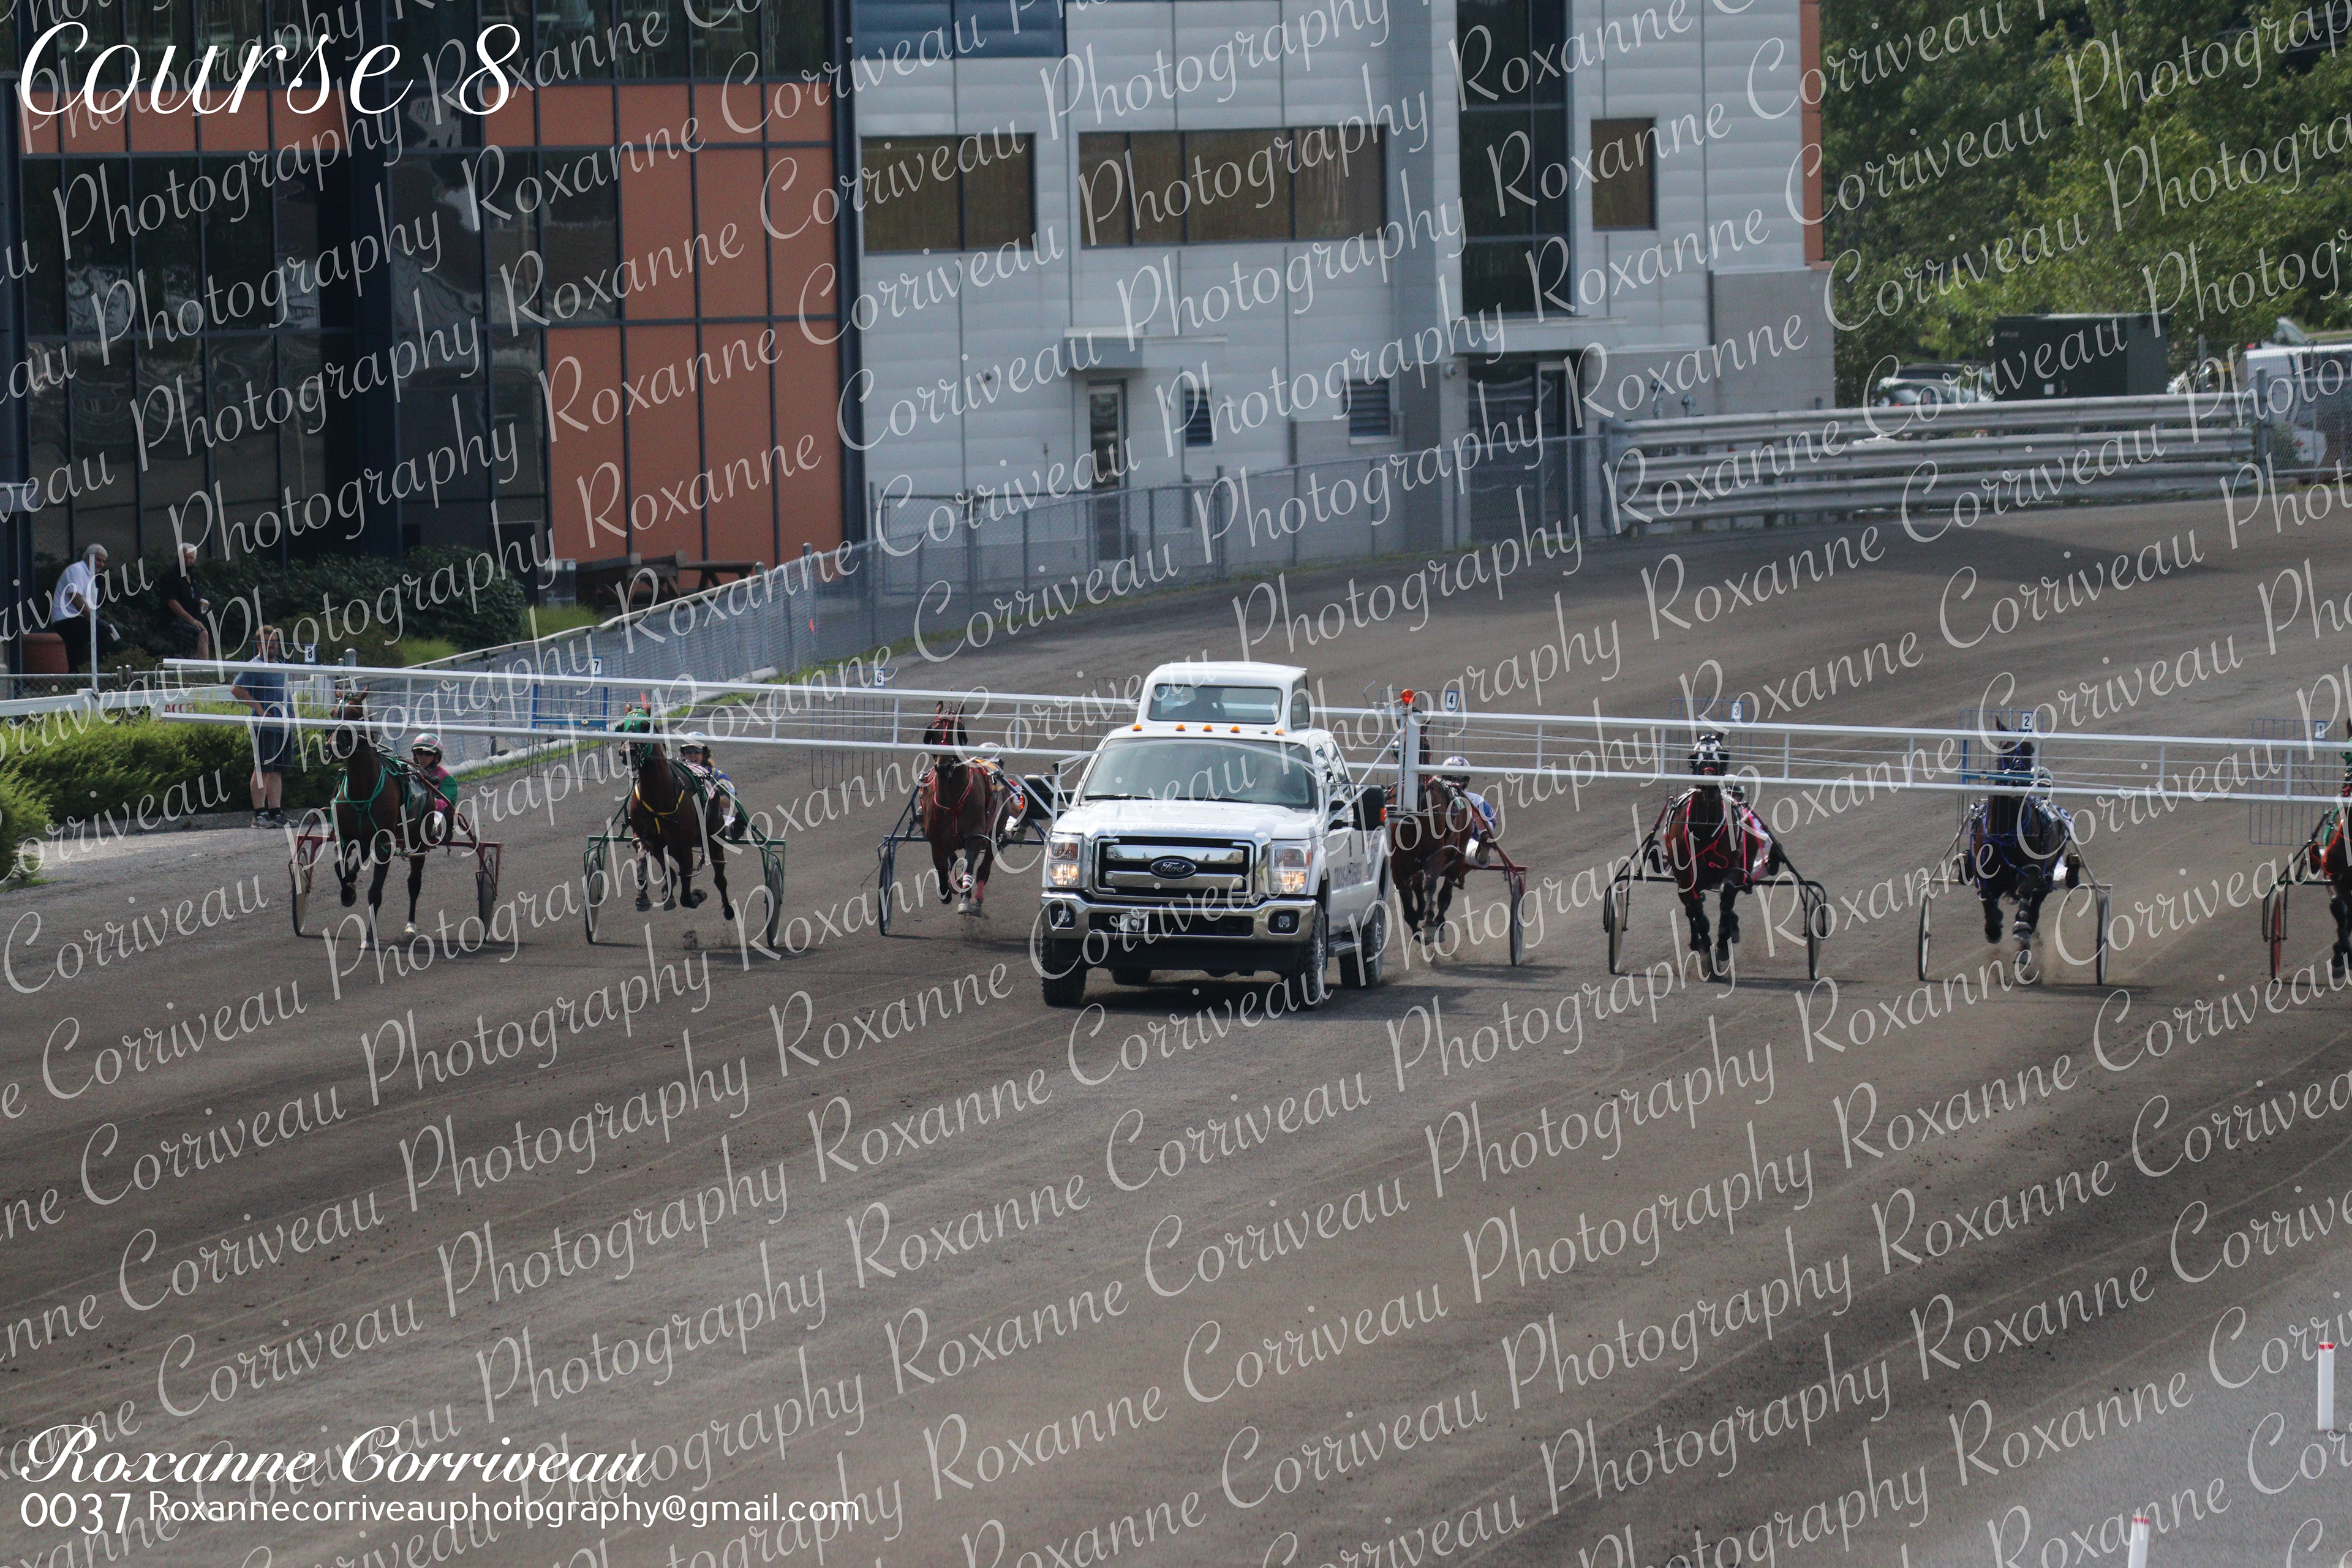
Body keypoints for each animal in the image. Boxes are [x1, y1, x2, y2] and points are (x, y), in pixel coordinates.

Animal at [325, 690, 433, 942]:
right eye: (333, 713)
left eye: (355, 714)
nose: (332, 746)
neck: (363, 789)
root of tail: (421, 772)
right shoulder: (343, 836)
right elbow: (339, 866)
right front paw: (348, 892)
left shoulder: (384, 844)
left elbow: (375, 892)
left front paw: (369, 935)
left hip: (418, 840)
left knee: (414, 883)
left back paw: (410, 926)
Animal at [616, 707, 734, 922]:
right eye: (620, 727)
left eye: (645, 726)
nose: (628, 752)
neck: (659, 794)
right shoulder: (648, 837)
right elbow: (645, 857)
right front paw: (643, 897)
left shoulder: (684, 844)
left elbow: (686, 894)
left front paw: (697, 895)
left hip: (713, 836)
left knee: (720, 878)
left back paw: (728, 909)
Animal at [919, 706, 1013, 916]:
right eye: (934, 732)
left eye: (958, 732)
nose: (944, 767)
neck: (952, 798)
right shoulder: (936, 840)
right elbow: (943, 866)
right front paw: (948, 889)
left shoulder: (974, 837)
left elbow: (971, 866)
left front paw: (966, 901)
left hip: (996, 829)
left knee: (984, 868)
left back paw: (976, 899)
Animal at [1654, 732, 1780, 973]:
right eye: (1693, 757)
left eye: (1723, 755)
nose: (1710, 787)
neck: (1704, 828)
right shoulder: (1685, 878)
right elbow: (1697, 913)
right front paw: (1707, 952)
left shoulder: (1735, 869)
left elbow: (1728, 894)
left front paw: (1722, 944)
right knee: (1693, 908)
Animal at [1966, 728, 2080, 975]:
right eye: (2005, 746)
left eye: (2030, 749)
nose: (2018, 779)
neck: (2006, 832)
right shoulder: (1984, 875)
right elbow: (1989, 905)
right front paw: (1994, 927)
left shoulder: (2033, 872)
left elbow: (2025, 905)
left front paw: (2021, 933)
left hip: (2047, 874)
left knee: (2034, 906)